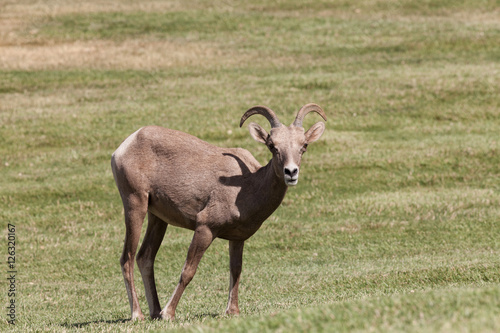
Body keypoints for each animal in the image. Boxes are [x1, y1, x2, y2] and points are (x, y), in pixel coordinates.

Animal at [111, 102, 326, 320]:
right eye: (272, 146)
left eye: (304, 146)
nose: (291, 172)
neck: (248, 186)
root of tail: (125, 145)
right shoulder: (205, 228)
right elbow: (188, 271)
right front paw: (168, 314)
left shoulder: (238, 238)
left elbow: (236, 270)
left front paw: (233, 311)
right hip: (135, 203)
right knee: (127, 258)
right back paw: (138, 314)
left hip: (157, 218)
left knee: (145, 257)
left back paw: (154, 311)